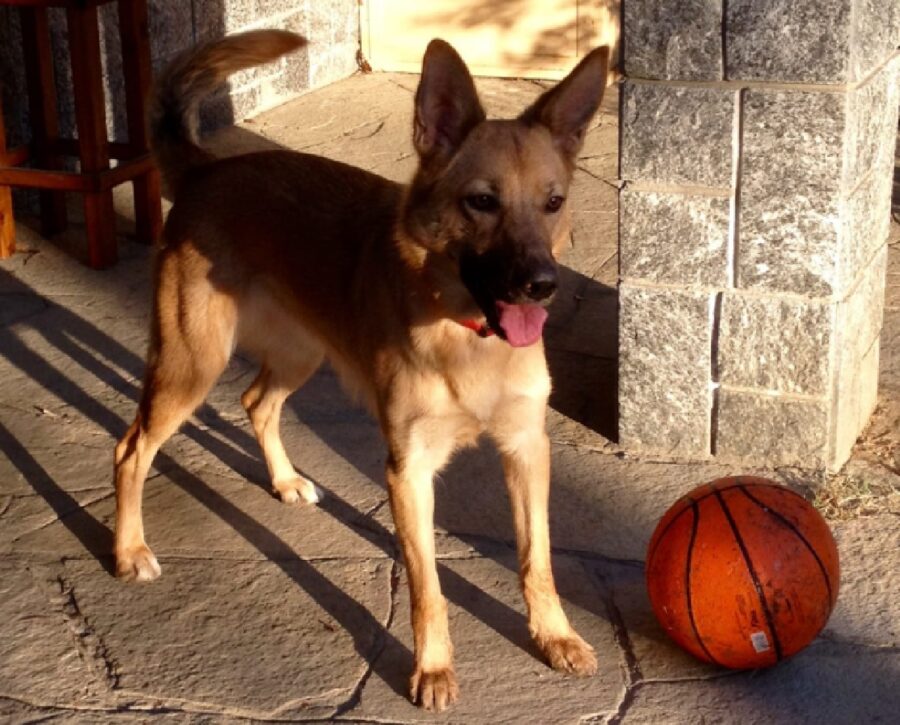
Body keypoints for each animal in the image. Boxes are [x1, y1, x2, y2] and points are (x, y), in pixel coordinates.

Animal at [112, 31, 608, 708]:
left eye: (553, 203)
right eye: (482, 202)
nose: (543, 286)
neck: (465, 329)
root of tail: (208, 168)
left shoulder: (526, 450)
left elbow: (539, 560)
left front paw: (554, 636)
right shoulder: (409, 471)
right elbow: (428, 586)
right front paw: (432, 668)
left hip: (300, 353)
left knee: (256, 403)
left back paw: (284, 480)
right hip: (191, 365)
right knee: (131, 449)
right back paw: (128, 550)